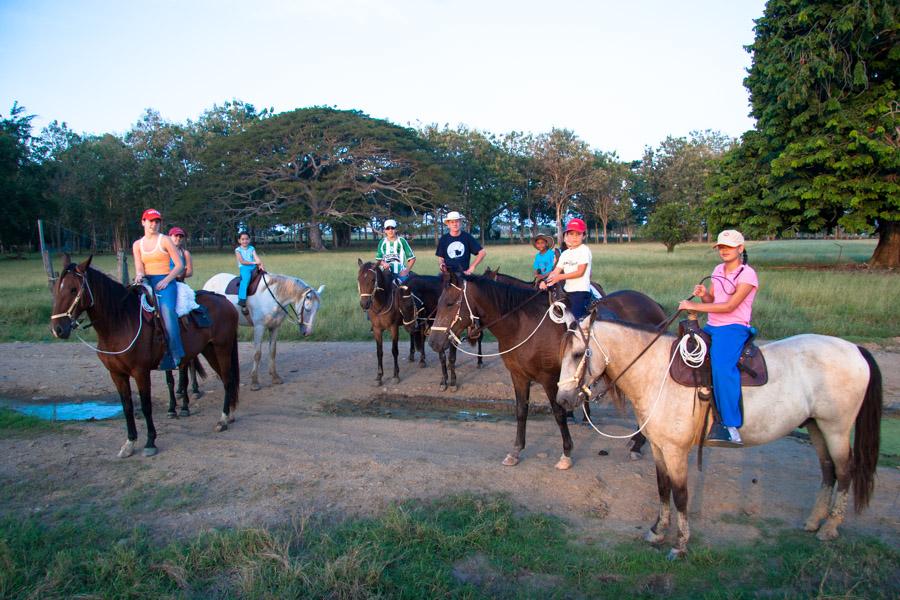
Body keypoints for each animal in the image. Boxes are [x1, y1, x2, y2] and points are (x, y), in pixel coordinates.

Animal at [49, 255, 239, 458]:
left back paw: (223, 419)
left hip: (222, 348)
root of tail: (225, 301)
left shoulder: (140, 372)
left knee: (227, 380)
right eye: (57, 288)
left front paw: (150, 442)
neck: (121, 323)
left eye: (73, 289)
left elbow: (146, 406)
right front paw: (129, 443)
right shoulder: (116, 374)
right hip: (209, 350)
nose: (57, 329)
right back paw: (230, 413)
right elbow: (127, 406)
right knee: (227, 380)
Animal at [428, 270, 668, 472]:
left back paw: (637, 445)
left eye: (450, 303)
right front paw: (515, 452)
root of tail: (654, 305)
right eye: (438, 302)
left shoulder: (550, 379)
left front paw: (566, 453)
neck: (522, 325)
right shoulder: (518, 376)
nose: (433, 342)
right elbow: (521, 411)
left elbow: (559, 413)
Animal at [552, 316, 884, 560]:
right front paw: (657, 531)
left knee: (844, 472)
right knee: (827, 470)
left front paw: (680, 545)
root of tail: (855, 349)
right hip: (816, 426)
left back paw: (830, 527)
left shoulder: (676, 451)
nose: (563, 399)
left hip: (835, 429)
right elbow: (662, 488)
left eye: (579, 354)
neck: (656, 373)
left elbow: (680, 495)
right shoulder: (659, 447)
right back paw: (815, 521)